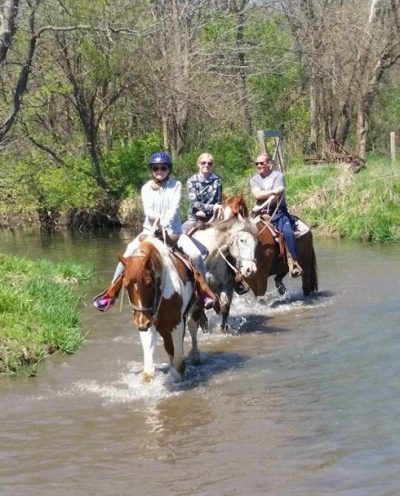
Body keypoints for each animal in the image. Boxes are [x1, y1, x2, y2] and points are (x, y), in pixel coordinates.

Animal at [117, 234, 202, 382]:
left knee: (192, 328)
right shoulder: (150, 324)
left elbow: (179, 363)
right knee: (169, 347)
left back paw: (196, 355)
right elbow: (148, 371)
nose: (141, 323)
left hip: (194, 309)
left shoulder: (176, 324)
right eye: (126, 285)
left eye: (149, 283)